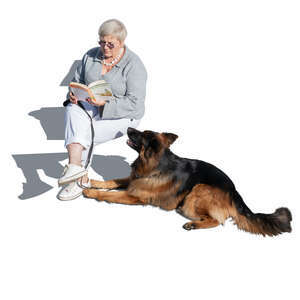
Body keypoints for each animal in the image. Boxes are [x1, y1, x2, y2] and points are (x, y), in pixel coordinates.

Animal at [82, 127, 292, 236]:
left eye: (141, 134)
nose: (128, 128)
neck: (155, 164)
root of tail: (235, 192)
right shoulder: (133, 179)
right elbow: (112, 181)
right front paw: (93, 181)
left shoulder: (135, 196)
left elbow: (110, 195)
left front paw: (91, 192)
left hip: (195, 194)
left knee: (217, 221)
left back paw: (194, 225)